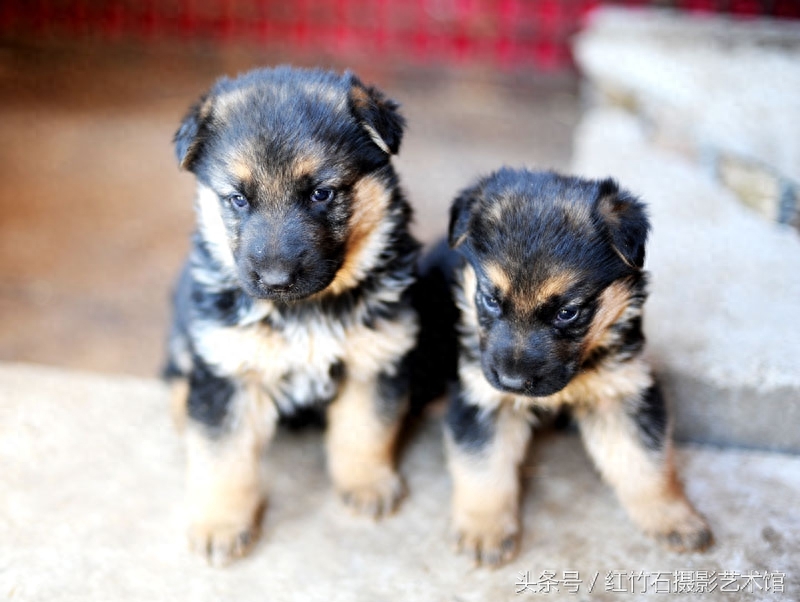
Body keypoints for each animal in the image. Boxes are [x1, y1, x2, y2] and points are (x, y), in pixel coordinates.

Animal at [166, 68, 422, 564]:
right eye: (238, 199)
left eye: (321, 193)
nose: (276, 279)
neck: (305, 311)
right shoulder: (227, 373)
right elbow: (222, 459)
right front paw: (220, 524)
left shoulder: (375, 358)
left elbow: (365, 431)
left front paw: (367, 485)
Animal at [444, 168, 712, 564]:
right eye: (490, 299)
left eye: (567, 312)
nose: (511, 381)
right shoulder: (481, 398)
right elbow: (484, 467)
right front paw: (485, 529)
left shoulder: (620, 392)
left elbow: (644, 464)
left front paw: (672, 517)